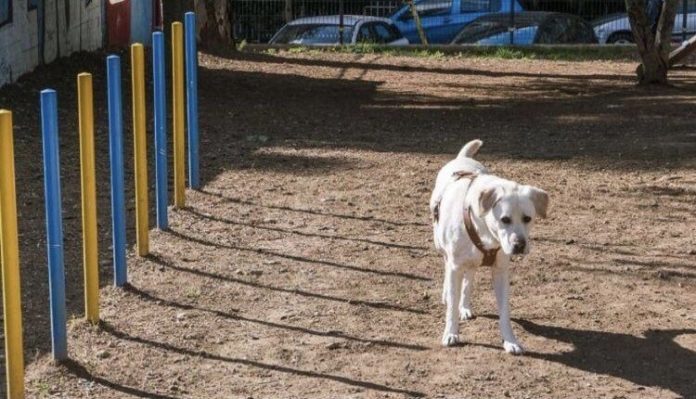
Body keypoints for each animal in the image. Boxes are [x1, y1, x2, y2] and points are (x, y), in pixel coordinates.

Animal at [430, 141, 548, 356]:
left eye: (527, 218)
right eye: (505, 219)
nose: (519, 245)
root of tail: (462, 158)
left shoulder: (500, 271)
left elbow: (504, 311)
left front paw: (510, 341)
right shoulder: (455, 266)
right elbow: (451, 305)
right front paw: (451, 333)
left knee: (469, 278)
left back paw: (465, 306)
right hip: (441, 246)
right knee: (447, 266)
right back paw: (448, 294)